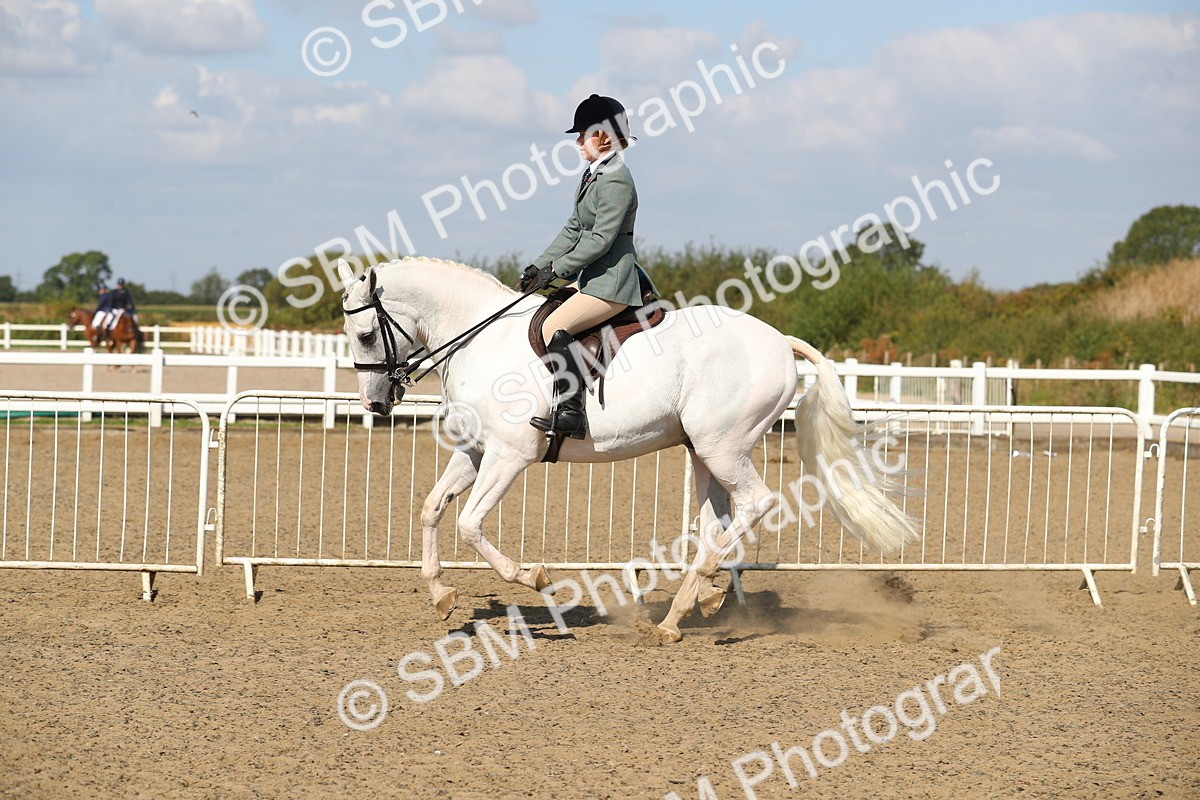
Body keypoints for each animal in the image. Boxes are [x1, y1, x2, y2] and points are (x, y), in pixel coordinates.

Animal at [338, 257, 916, 643]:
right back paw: (691, 606)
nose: (375, 403)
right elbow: (433, 509)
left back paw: (695, 595)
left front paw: (533, 576)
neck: (482, 341)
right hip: (703, 452)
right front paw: (440, 595)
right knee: (717, 523)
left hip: (723, 447)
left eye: (364, 335)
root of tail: (778, 340)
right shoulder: (476, 452)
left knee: (756, 503)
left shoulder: (508, 457)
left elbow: (470, 524)